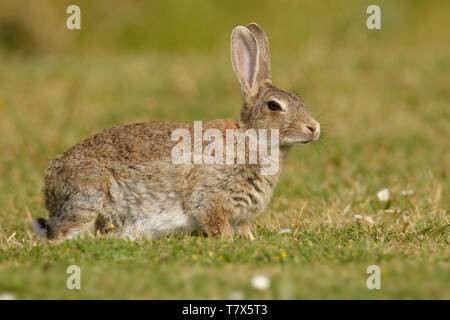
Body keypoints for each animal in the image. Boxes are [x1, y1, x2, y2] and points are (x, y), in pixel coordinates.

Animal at [31, 23, 320, 240]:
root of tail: (49, 184)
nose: (314, 128)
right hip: (88, 195)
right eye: (274, 106)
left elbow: (244, 228)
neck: (251, 138)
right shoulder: (210, 197)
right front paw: (229, 242)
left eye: (299, 98)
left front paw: (250, 240)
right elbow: (217, 223)